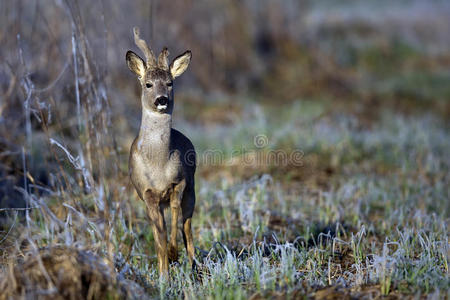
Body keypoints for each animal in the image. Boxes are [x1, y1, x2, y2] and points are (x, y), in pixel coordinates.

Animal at [125, 27, 195, 276]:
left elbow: (175, 219)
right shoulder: (146, 193)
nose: (161, 99)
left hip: (193, 190)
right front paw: (164, 274)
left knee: (187, 228)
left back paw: (196, 268)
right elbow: (159, 238)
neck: (158, 165)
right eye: (148, 84)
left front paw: (175, 254)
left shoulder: (179, 182)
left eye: (170, 82)